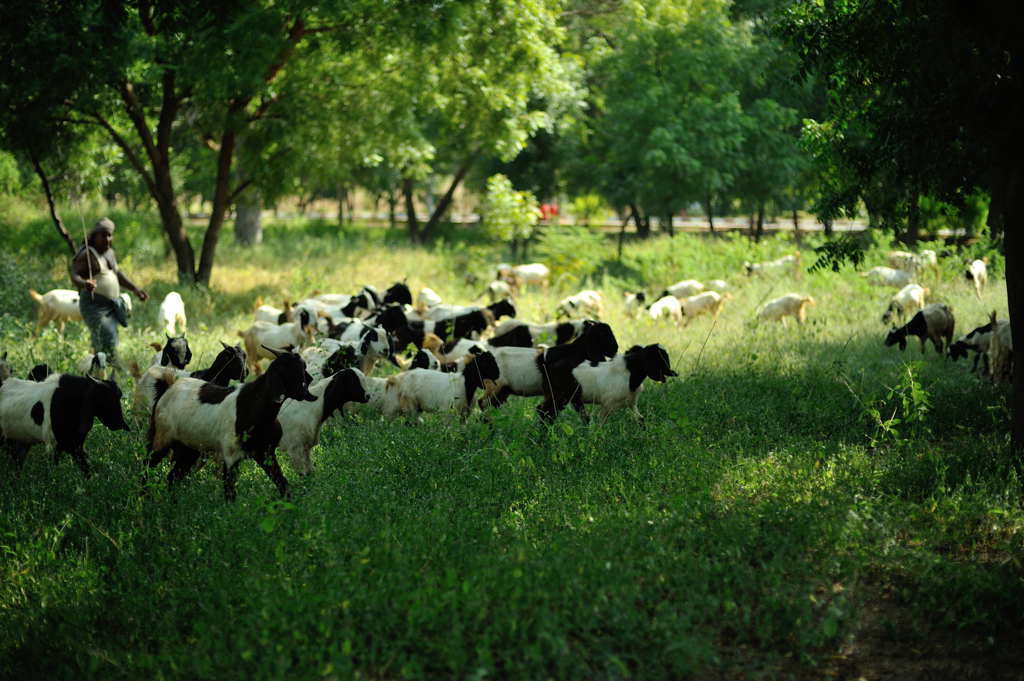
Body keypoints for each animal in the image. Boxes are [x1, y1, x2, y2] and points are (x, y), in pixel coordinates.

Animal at [0, 372, 132, 477]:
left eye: (119, 395)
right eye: (100, 397)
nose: (118, 422)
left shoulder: (75, 446)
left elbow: (90, 472)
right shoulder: (52, 445)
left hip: (19, 443)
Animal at [142, 346, 313, 499]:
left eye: (303, 366)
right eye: (283, 367)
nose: (303, 390)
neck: (254, 410)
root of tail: (167, 389)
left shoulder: (265, 453)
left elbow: (284, 485)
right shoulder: (231, 455)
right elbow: (230, 493)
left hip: (189, 447)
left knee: (173, 478)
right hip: (161, 437)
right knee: (146, 468)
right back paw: (145, 501)